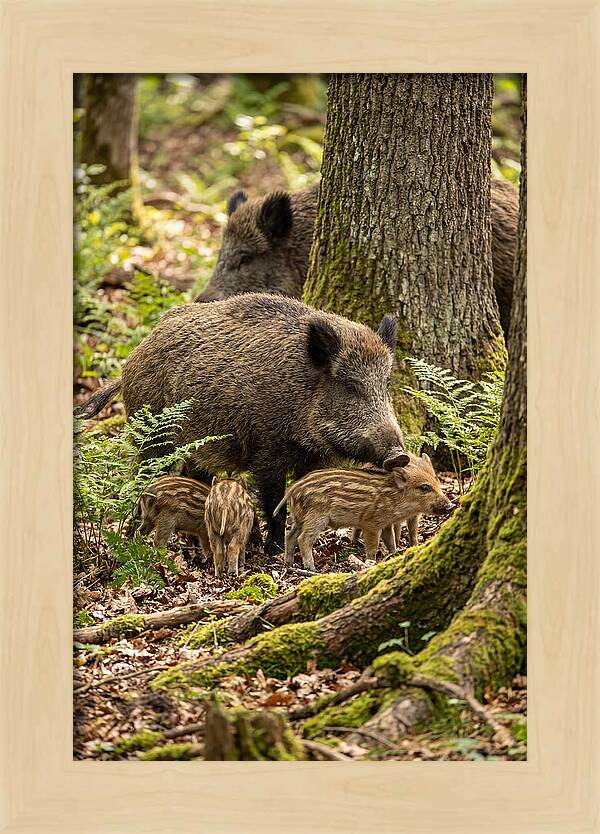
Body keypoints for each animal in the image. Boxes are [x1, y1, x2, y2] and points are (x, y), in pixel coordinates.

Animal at [75, 293, 407, 556]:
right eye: (351, 387)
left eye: (386, 384)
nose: (399, 455)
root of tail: (132, 357)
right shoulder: (266, 449)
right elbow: (274, 502)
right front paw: (273, 551)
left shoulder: (316, 458)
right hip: (153, 434)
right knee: (141, 476)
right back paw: (132, 535)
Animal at [275, 455, 455, 571]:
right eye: (424, 487)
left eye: (437, 482)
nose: (451, 505)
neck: (395, 497)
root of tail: (293, 489)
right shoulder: (371, 523)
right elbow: (373, 546)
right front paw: (370, 562)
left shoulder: (386, 523)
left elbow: (390, 541)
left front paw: (394, 555)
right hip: (316, 517)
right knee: (303, 539)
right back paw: (311, 568)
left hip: (300, 518)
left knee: (290, 536)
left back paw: (288, 563)